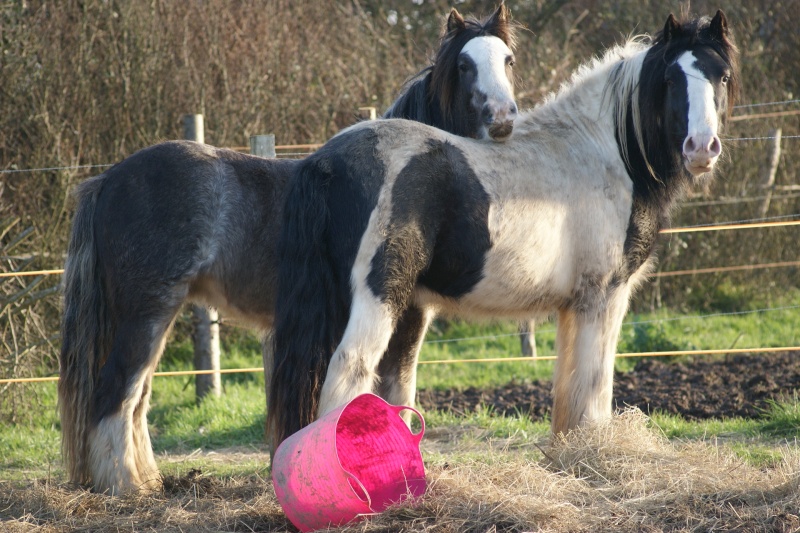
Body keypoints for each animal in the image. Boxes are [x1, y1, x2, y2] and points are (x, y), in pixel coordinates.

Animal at [57, 5, 520, 494]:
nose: (502, 119)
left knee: (137, 397)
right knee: (117, 393)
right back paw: (125, 486)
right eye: (464, 65)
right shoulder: (402, 314)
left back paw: (147, 479)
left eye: (507, 59)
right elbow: (393, 393)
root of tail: (107, 179)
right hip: (146, 312)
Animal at [272, 11, 740, 444]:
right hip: (379, 298)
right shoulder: (602, 296)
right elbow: (596, 386)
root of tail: (326, 159)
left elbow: (569, 389)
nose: (702, 148)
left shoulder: (573, 307)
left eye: (721, 75)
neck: (604, 151)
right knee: (348, 373)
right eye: (670, 79)